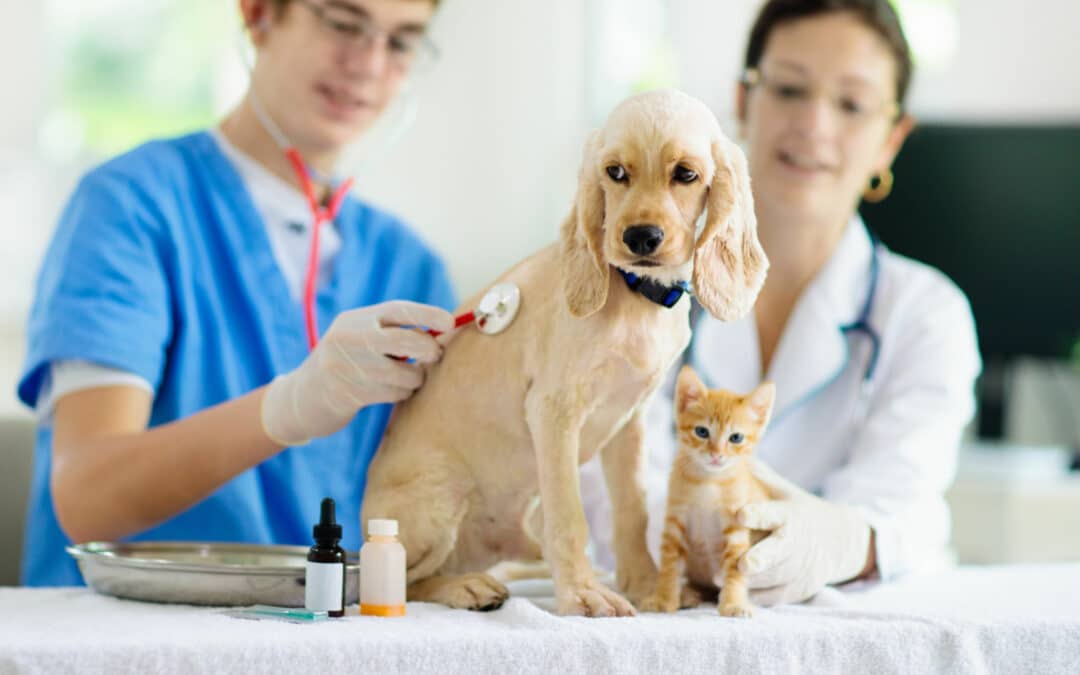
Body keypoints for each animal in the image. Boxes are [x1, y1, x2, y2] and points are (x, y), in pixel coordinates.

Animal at [639, 365, 777, 613]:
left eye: (736, 437)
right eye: (702, 432)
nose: (716, 455)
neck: (708, 482)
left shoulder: (736, 525)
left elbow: (734, 568)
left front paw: (733, 602)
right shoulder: (675, 519)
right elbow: (669, 563)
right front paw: (664, 598)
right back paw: (688, 594)